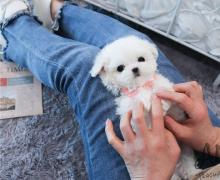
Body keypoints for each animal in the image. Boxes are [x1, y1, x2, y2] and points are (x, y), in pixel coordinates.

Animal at [90, 35, 201, 179]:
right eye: (120, 68)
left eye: (141, 59)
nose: (135, 69)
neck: (140, 85)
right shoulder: (128, 105)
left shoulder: (165, 88)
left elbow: (162, 94)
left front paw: (159, 103)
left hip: (185, 149)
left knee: (187, 163)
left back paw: (194, 172)